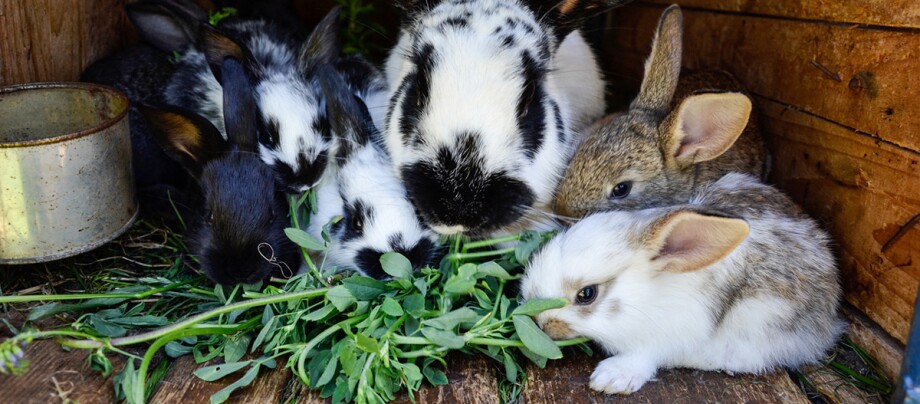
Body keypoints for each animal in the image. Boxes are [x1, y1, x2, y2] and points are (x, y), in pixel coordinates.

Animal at [516, 172, 840, 396]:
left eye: (587, 294)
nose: (540, 321)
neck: (647, 296)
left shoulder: (669, 335)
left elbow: (645, 356)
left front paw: (611, 378)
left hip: (760, 318)